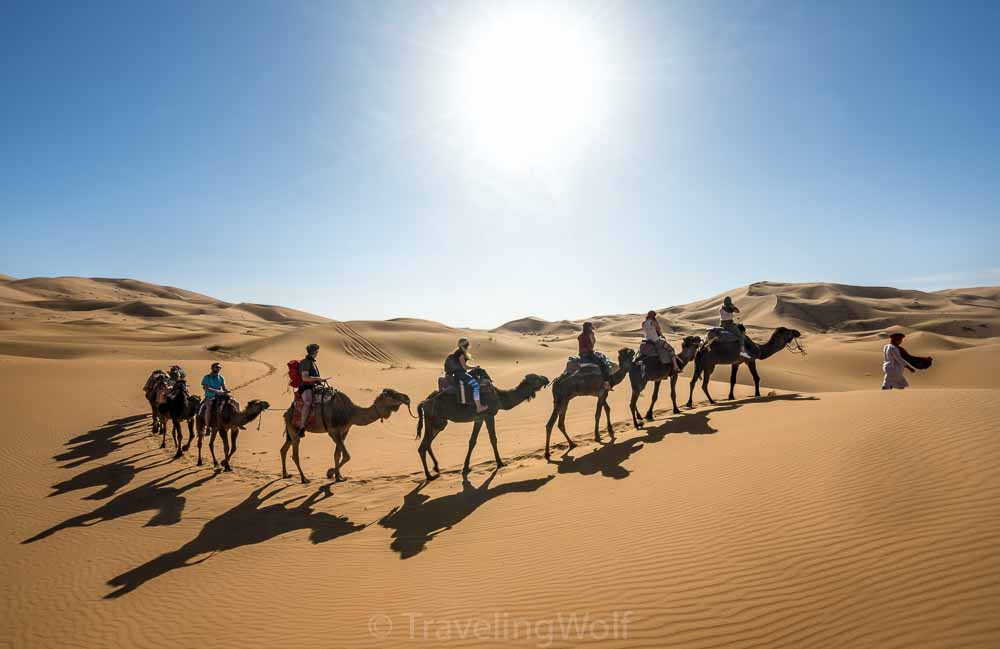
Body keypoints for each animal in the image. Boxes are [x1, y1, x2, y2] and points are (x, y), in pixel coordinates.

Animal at [280, 388, 412, 484]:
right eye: (393, 395)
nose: (407, 398)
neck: (351, 413)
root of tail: (287, 413)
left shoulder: (344, 431)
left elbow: (337, 455)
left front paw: (339, 476)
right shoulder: (333, 432)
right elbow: (347, 455)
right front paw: (330, 473)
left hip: (291, 432)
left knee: (283, 449)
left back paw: (286, 474)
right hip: (294, 430)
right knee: (295, 454)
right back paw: (304, 479)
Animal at [418, 370, 552, 480]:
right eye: (536, 378)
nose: (546, 378)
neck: (499, 398)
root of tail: (424, 402)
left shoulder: (479, 419)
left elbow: (472, 441)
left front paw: (466, 467)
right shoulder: (489, 415)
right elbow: (493, 439)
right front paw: (500, 463)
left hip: (438, 422)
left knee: (427, 443)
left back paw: (436, 467)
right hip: (435, 419)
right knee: (422, 446)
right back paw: (429, 476)